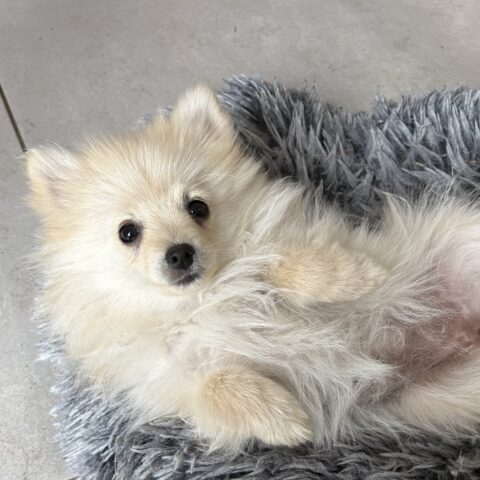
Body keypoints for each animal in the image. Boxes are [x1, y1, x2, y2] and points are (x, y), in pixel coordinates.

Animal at [26, 86, 480, 451]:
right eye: (127, 233)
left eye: (198, 207)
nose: (179, 253)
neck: (200, 300)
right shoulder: (172, 381)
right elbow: (215, 385)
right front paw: (285, 419)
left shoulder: (278, 244)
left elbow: (287, 264)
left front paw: (357, 275)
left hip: (462, 235)